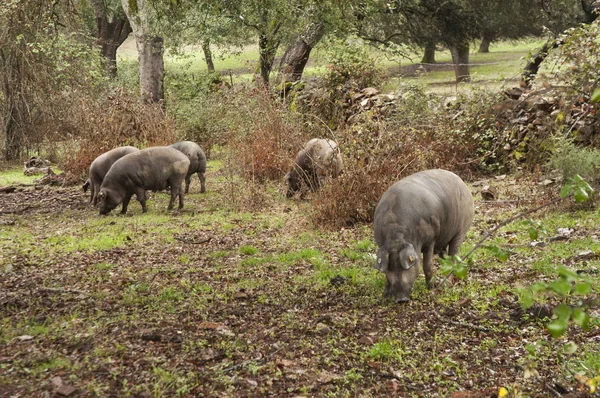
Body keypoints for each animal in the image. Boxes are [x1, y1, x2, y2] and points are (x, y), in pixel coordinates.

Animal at [370, 169, 474, 304]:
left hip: (460, 231)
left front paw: (431, 288)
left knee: (453, 256)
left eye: (406, 265)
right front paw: (385, 295)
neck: (396, 236)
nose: (401, 299)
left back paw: (447, 283)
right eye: (391, 266)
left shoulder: (431, 240)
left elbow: (427, 265)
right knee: (445, 257)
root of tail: (461, 181)